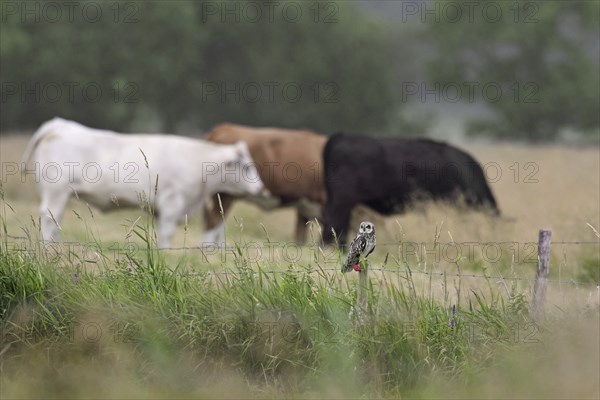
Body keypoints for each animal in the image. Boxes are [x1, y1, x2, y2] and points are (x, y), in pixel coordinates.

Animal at [22, 116, 264, 247]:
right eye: (246, 166)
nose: (260, 187)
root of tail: (59, 125)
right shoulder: (171, 204)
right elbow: (167, 234)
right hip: (56, 192)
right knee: (50, 218)